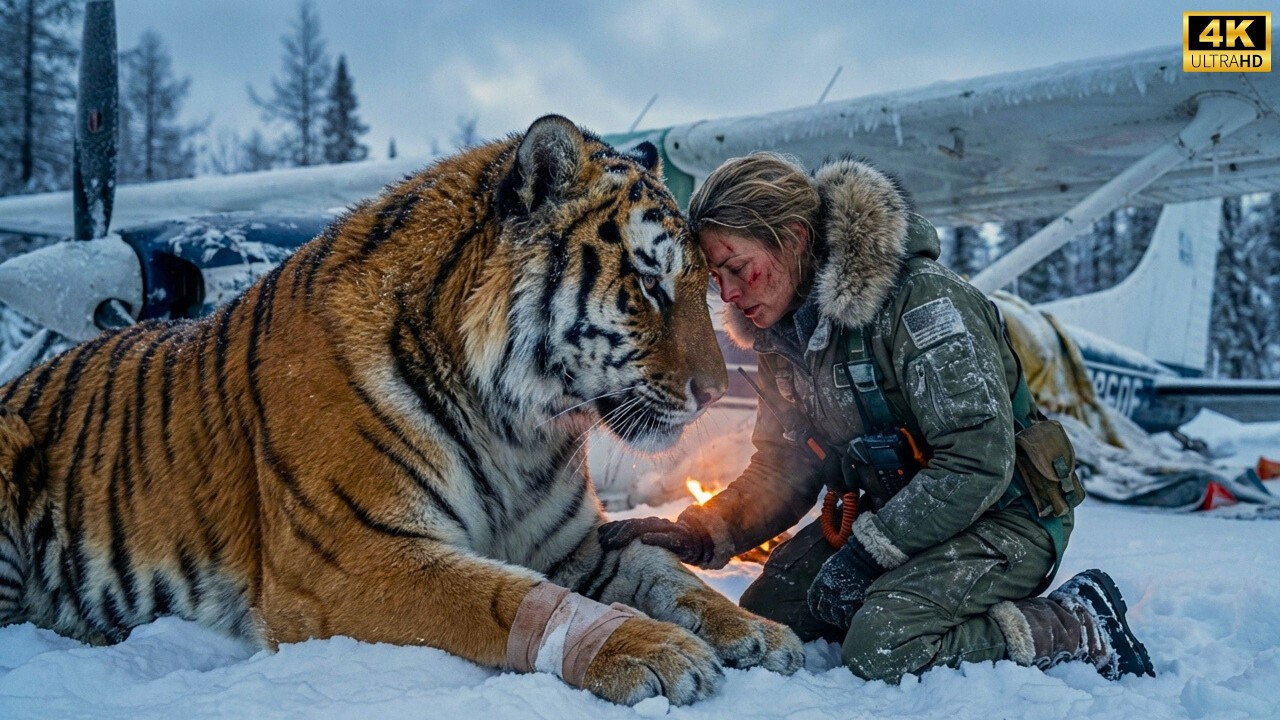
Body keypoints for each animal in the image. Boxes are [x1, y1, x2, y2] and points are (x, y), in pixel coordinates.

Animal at [0, 115, 804, 705]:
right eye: (648, 284)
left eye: (708, 284)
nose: (713, 391)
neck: (519, 429)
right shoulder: (355, 557)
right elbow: (505, 598)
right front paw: (652, 648)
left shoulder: (567, 541)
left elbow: (665, 573)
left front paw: (755, 628)